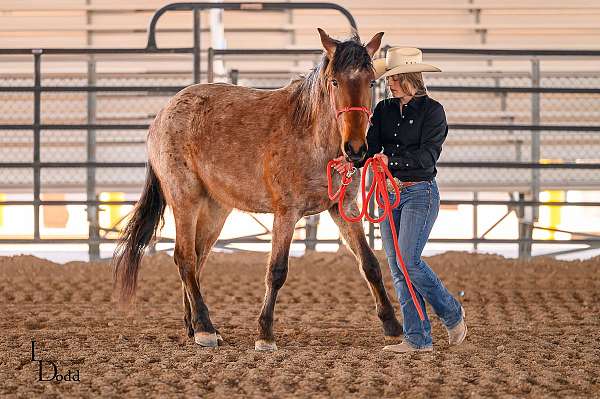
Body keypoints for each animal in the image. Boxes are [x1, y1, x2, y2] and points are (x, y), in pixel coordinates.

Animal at [114, 28, 400, 354]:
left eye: (371, 81)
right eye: (335, 81)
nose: (355, 149)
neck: (311, 134)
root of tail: (163, 115)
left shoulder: (343, 208)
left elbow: (370, 264)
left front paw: (393, 326)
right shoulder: (286, 214)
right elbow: (276, 271)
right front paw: (265, 333)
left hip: (215, 209)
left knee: (196, 259)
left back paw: (194, 325)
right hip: (185, 200)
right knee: (185, 259)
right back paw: (205, 329)